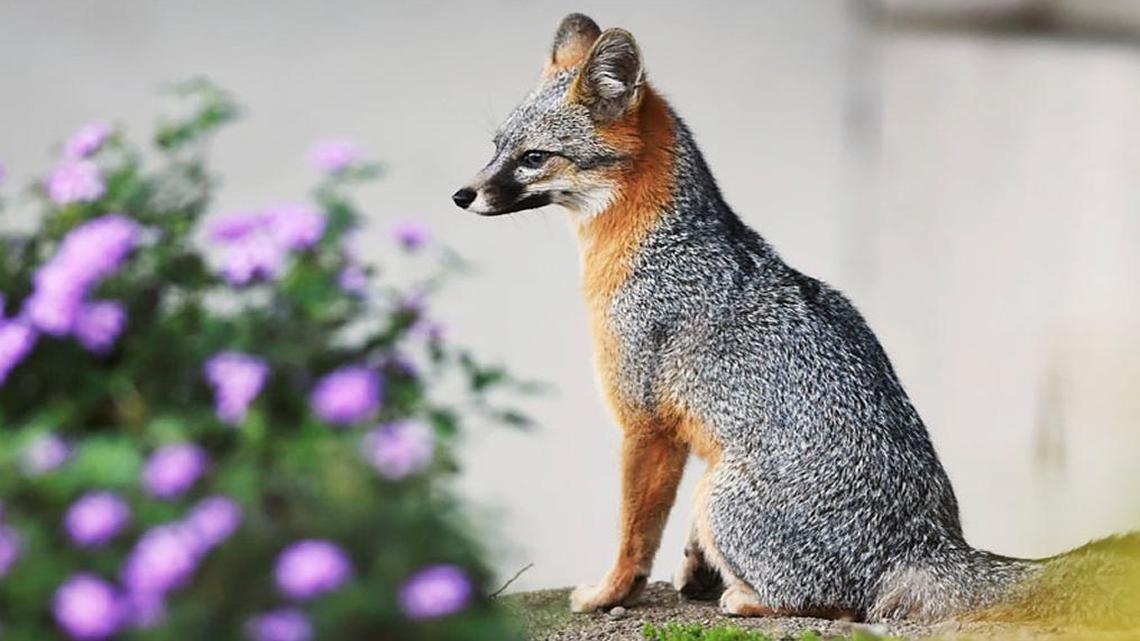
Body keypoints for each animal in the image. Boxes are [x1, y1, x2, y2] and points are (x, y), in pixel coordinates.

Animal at [452, 13, 1140, 625]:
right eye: (496, 149)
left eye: (533, 158)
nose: (461, 195)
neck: (659, 243)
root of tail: (931, 542)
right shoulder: (697, 435)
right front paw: (694, 572)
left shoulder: (645, 427)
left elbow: (633, 535)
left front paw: (609, 593)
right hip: (717, 482)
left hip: (718, 492)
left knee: (838, 603)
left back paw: (747, 598)